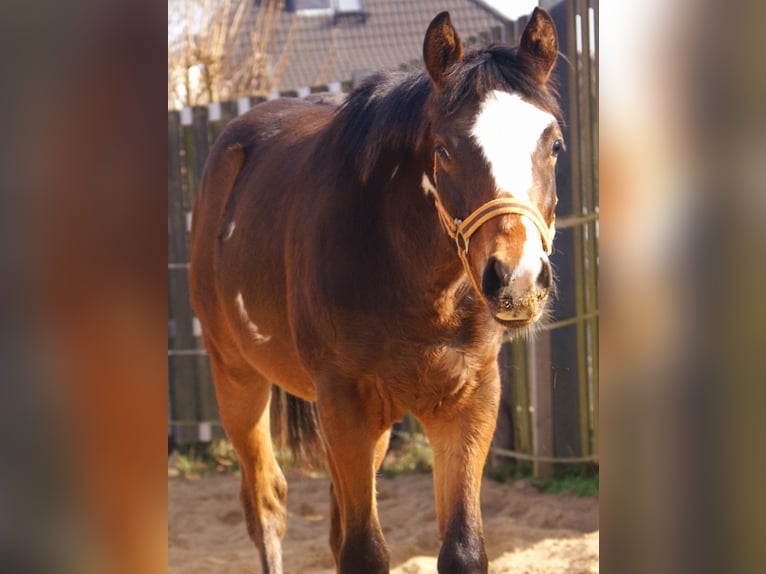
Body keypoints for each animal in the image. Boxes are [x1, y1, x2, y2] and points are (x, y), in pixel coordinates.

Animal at [189, 7, 562, 573]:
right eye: (444, 150)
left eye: (555, 144)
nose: (517, 280)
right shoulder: (344, 402)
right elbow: (363, 550)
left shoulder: (470, 400)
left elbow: (462, 549)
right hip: (236, 375)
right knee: (267, 501)